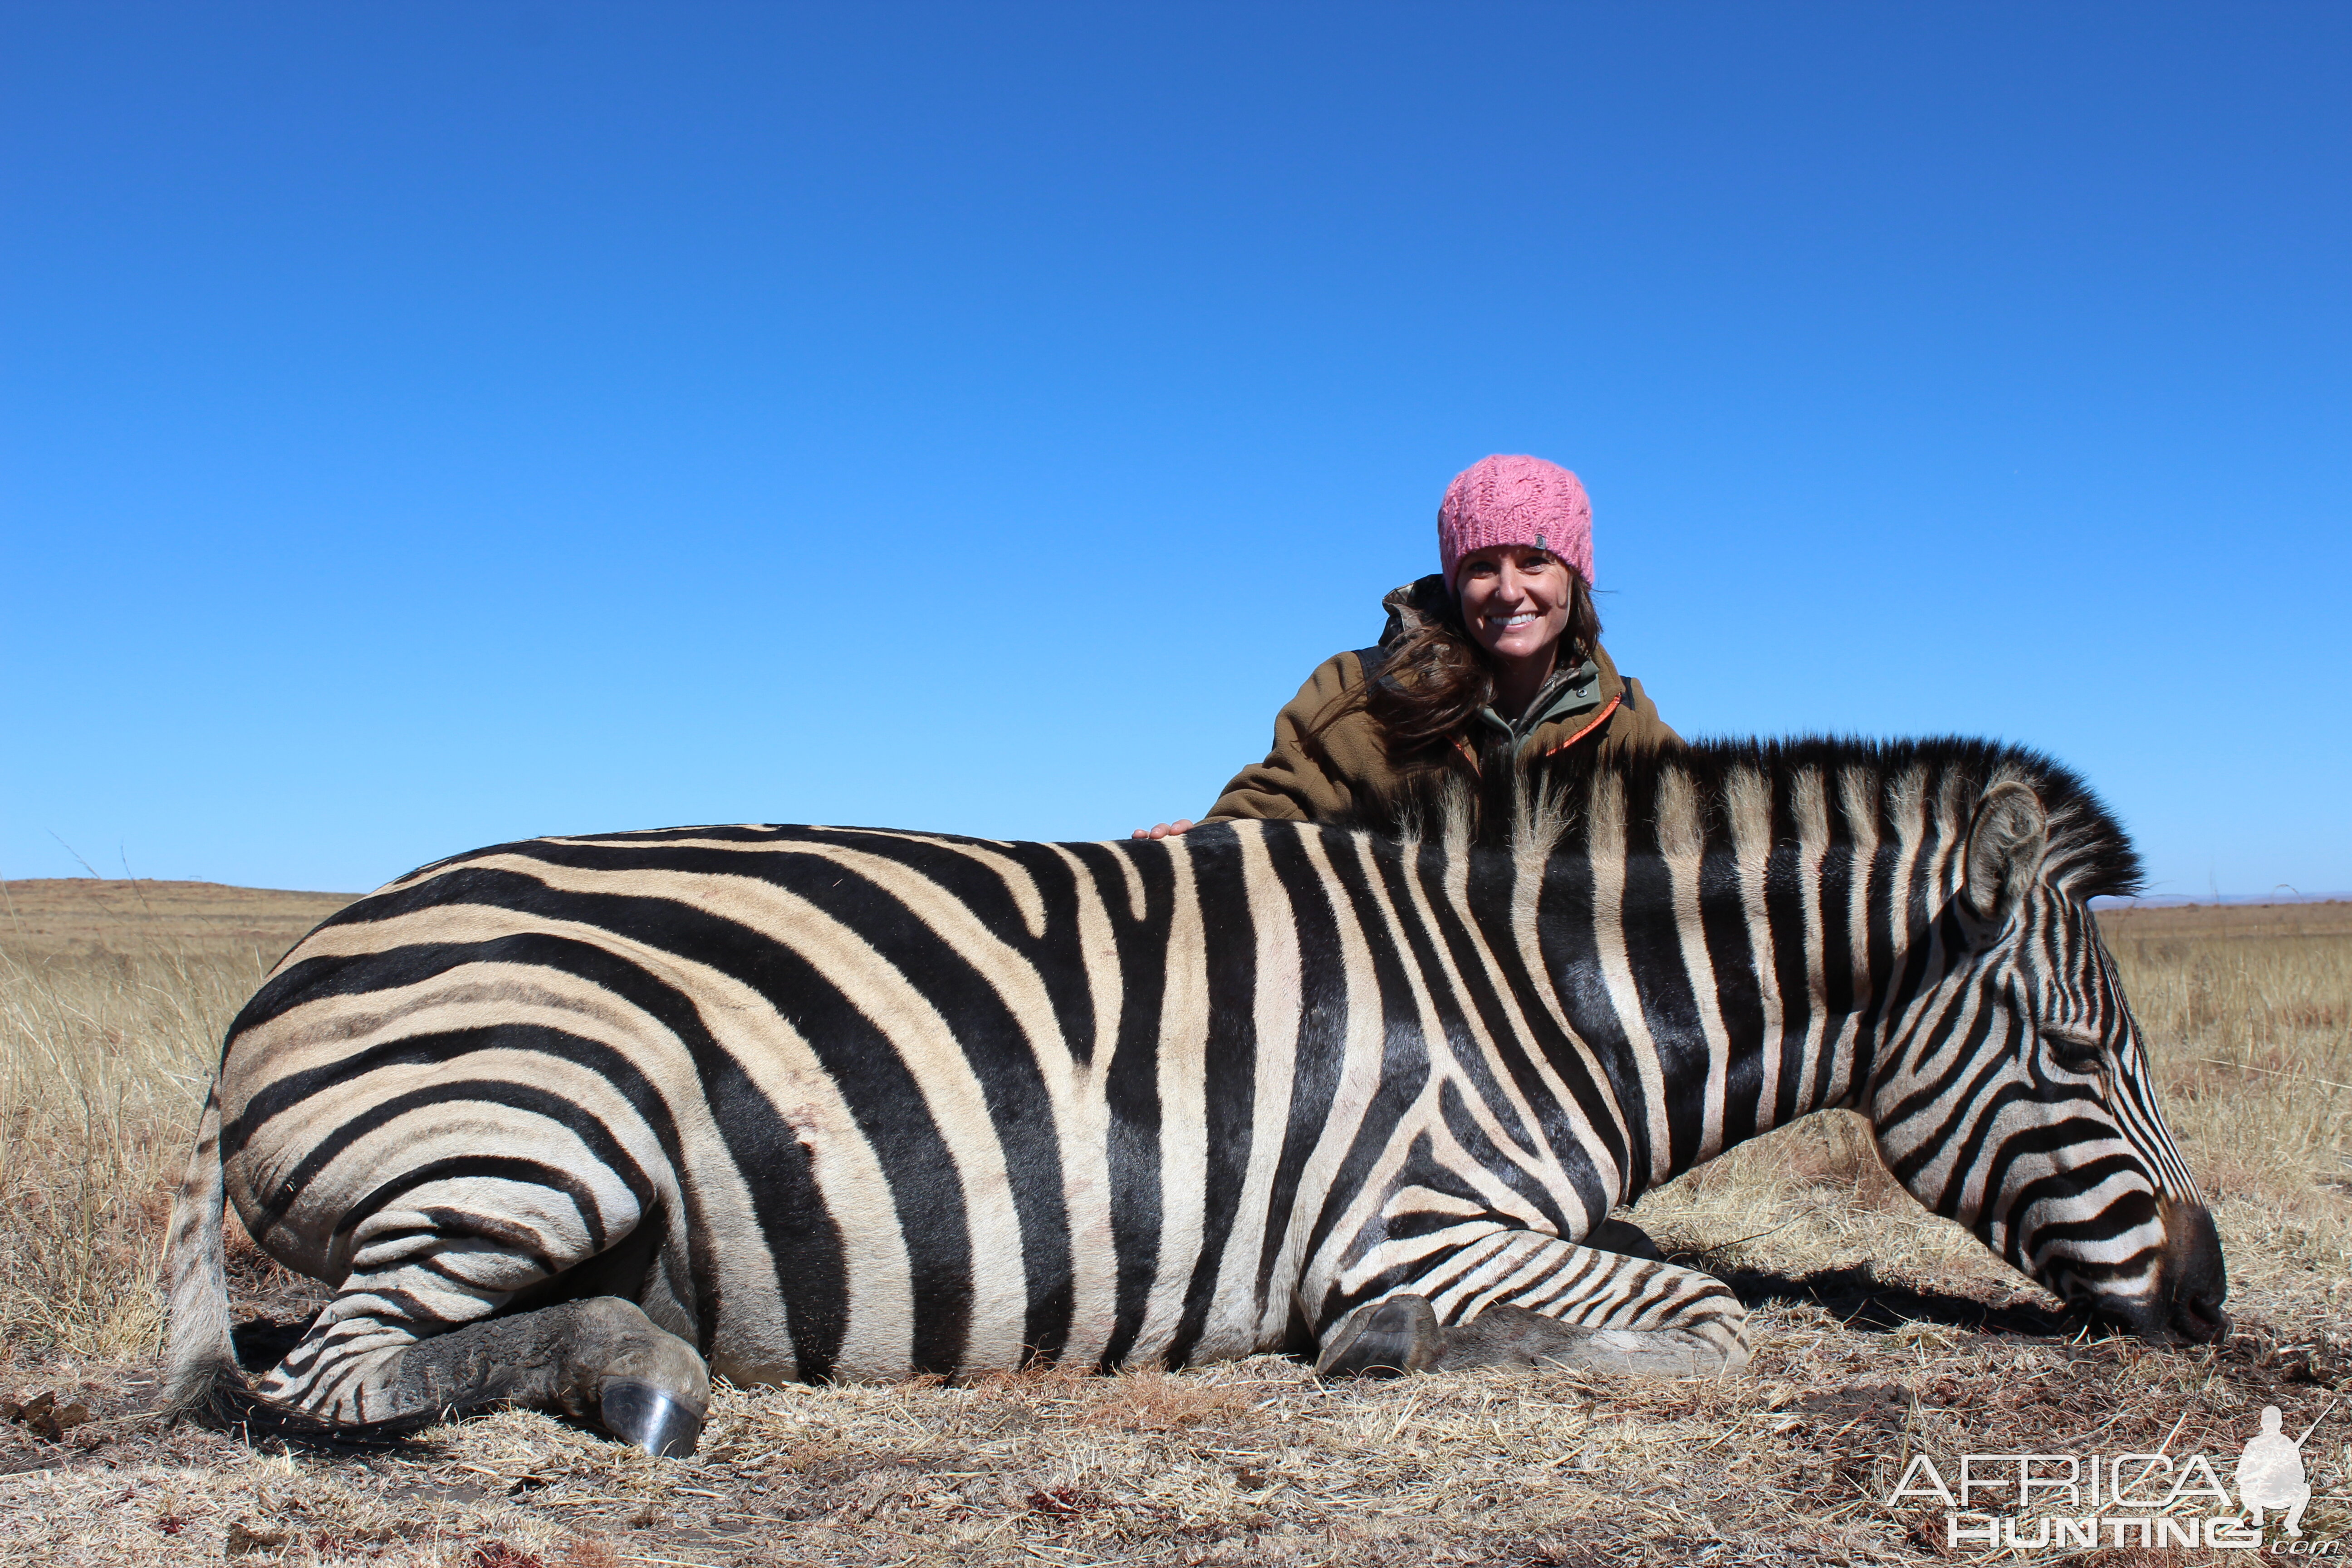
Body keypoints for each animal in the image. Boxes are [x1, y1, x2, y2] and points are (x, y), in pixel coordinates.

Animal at [166, 738, 2220, 1457]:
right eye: (2082, 1055)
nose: (2208, 1292)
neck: (1524, 996)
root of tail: (282, 974)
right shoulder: (1425, 1215)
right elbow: (1708, 1319)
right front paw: (1389, 1350)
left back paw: (634, 1349)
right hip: (538, 1124)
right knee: (332, 1375)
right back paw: (639, 1378)